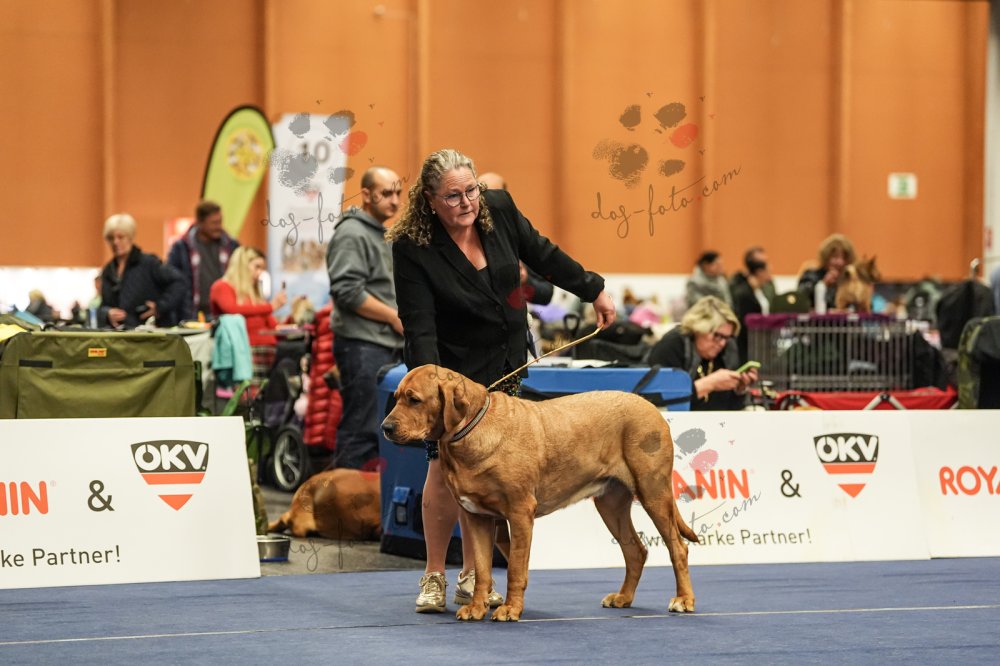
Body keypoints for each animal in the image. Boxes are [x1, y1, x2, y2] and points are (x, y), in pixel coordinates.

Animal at [381, 364, 697, 622]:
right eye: (396, 397)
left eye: (414, 399)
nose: (386, 427)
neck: (470, 430)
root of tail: (651, 408)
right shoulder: (477, 517)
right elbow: (482, 570)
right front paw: (477, 608)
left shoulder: (520, 513)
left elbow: (515, 569)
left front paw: (510, 609)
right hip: (611, 504)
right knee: (635, 550)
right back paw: (623, 598)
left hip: (653, 491)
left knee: (677, 547)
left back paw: (683, 600)